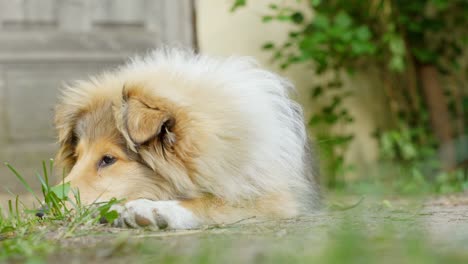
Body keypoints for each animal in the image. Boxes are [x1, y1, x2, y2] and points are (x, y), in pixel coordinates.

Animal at [54, 48, 318, 229]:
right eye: (77, 156)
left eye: (108, 159)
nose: (46, 210)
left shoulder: (276, 198)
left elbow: (212, 201)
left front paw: (150, 210)